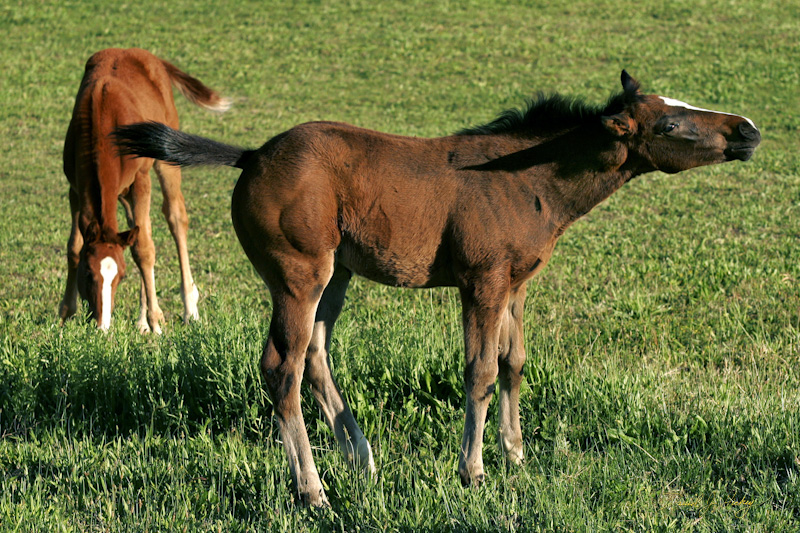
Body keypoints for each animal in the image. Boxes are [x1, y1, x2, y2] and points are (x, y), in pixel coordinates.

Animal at [59, 48, 231, 333]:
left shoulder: (140, 180)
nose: (103, 325)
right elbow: (75, 245)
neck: (101, 121)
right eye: (88, 273)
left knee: (174, 218)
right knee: (139, 227)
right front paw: (64, 314)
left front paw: (156, 321)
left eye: (121, 275)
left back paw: (188, 310)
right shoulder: (75, 187)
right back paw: (142, 321)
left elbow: (144, 250)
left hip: (165, 160)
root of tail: (150, 57)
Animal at [113, 71, 760, 506]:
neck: (530, 180)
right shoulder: (482, 282)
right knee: (282, 366)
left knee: (315, 354)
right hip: (299, 275)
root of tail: (250, 156)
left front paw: (516, 456)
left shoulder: (516, 286)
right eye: (671, 122)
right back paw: (312, 489)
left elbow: (513, 362)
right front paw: (474, 472)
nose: (748, 129)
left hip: (336, 274)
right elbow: (478, 371)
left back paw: (361, 458)